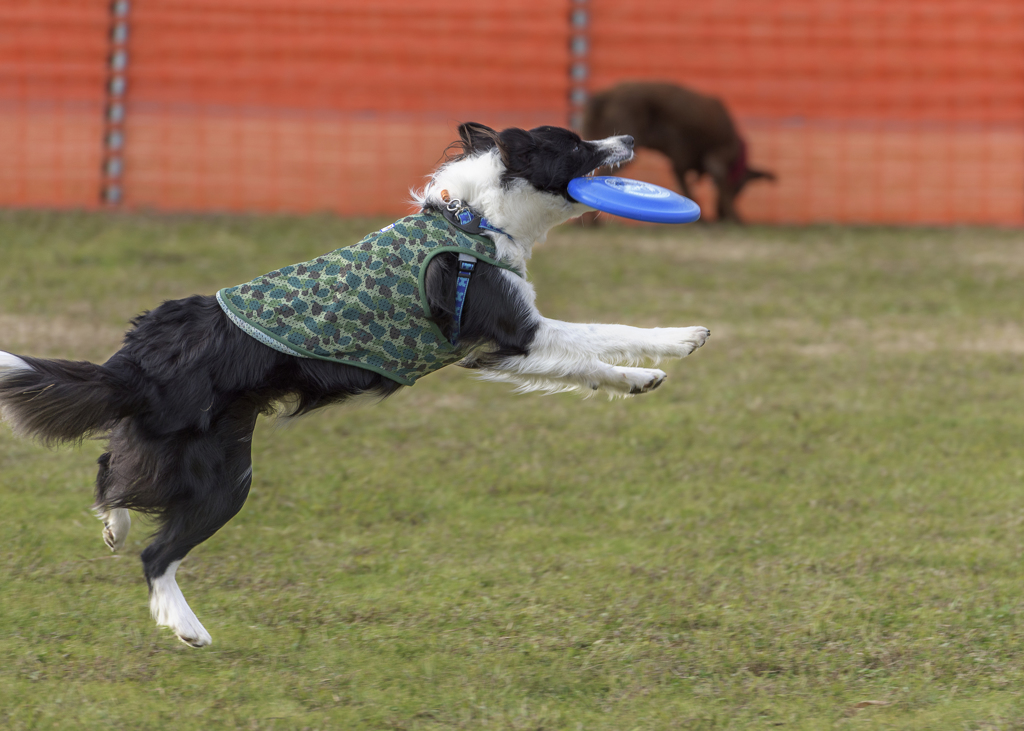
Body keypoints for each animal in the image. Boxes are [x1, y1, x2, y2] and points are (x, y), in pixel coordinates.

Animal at [0, 123, 708, 642]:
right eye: (577, 144)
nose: (629, 140)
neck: (472, 220)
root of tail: (138, 358)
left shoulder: (497, 354)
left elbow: (590, 357)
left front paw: (643, 375)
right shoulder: (515, 333)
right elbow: (600, 331)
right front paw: (674, 343)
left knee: (109, 471)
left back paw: (114, 527)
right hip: (224, 475)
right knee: (157, 553)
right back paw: (186, 626)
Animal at [585, 80, 774, 221]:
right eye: (739, 187)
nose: (720, 214)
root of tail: (604, 96)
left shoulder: (680, 164)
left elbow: (688, 189)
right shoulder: (716, 157)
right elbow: (718, 186)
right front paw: (734, 218)